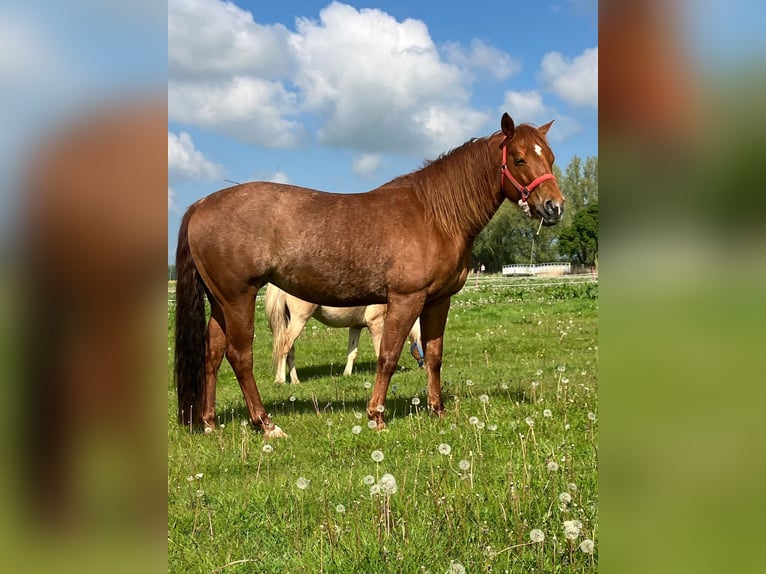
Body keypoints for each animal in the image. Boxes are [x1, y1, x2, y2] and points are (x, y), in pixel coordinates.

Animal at [264, 283, 424, 385]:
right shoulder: (376, 324)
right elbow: (380, 352)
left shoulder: (355, 327)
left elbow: (352, 353)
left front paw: (346, 374)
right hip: (299, 321)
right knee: (284, 347)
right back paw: (280, 380)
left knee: (290, 350)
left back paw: (295, 381)